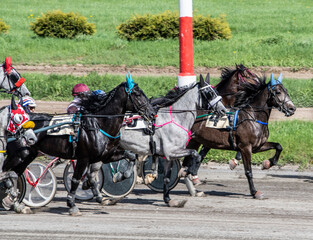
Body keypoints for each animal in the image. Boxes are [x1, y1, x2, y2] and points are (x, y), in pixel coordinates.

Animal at [4, 76, 156, 217]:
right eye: (137, 94)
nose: (152, 113)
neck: (98, 124)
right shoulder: (84, 157)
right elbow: (76, 179)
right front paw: (72, 205)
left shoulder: (106, 155)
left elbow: (130, 156)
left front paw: (119, 177)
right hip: (19, 155)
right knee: (8, 172)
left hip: (28, 154)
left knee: (15, 173)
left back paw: (17, 204)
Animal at [118, 76, 225, 207]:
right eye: (209, 93)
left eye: (216, 91)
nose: (223, 110)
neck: (176, 119)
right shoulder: (172, 151)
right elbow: (195, 153)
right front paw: (186, 172)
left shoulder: (169, 156)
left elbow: (166, 178)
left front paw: (168, 199)